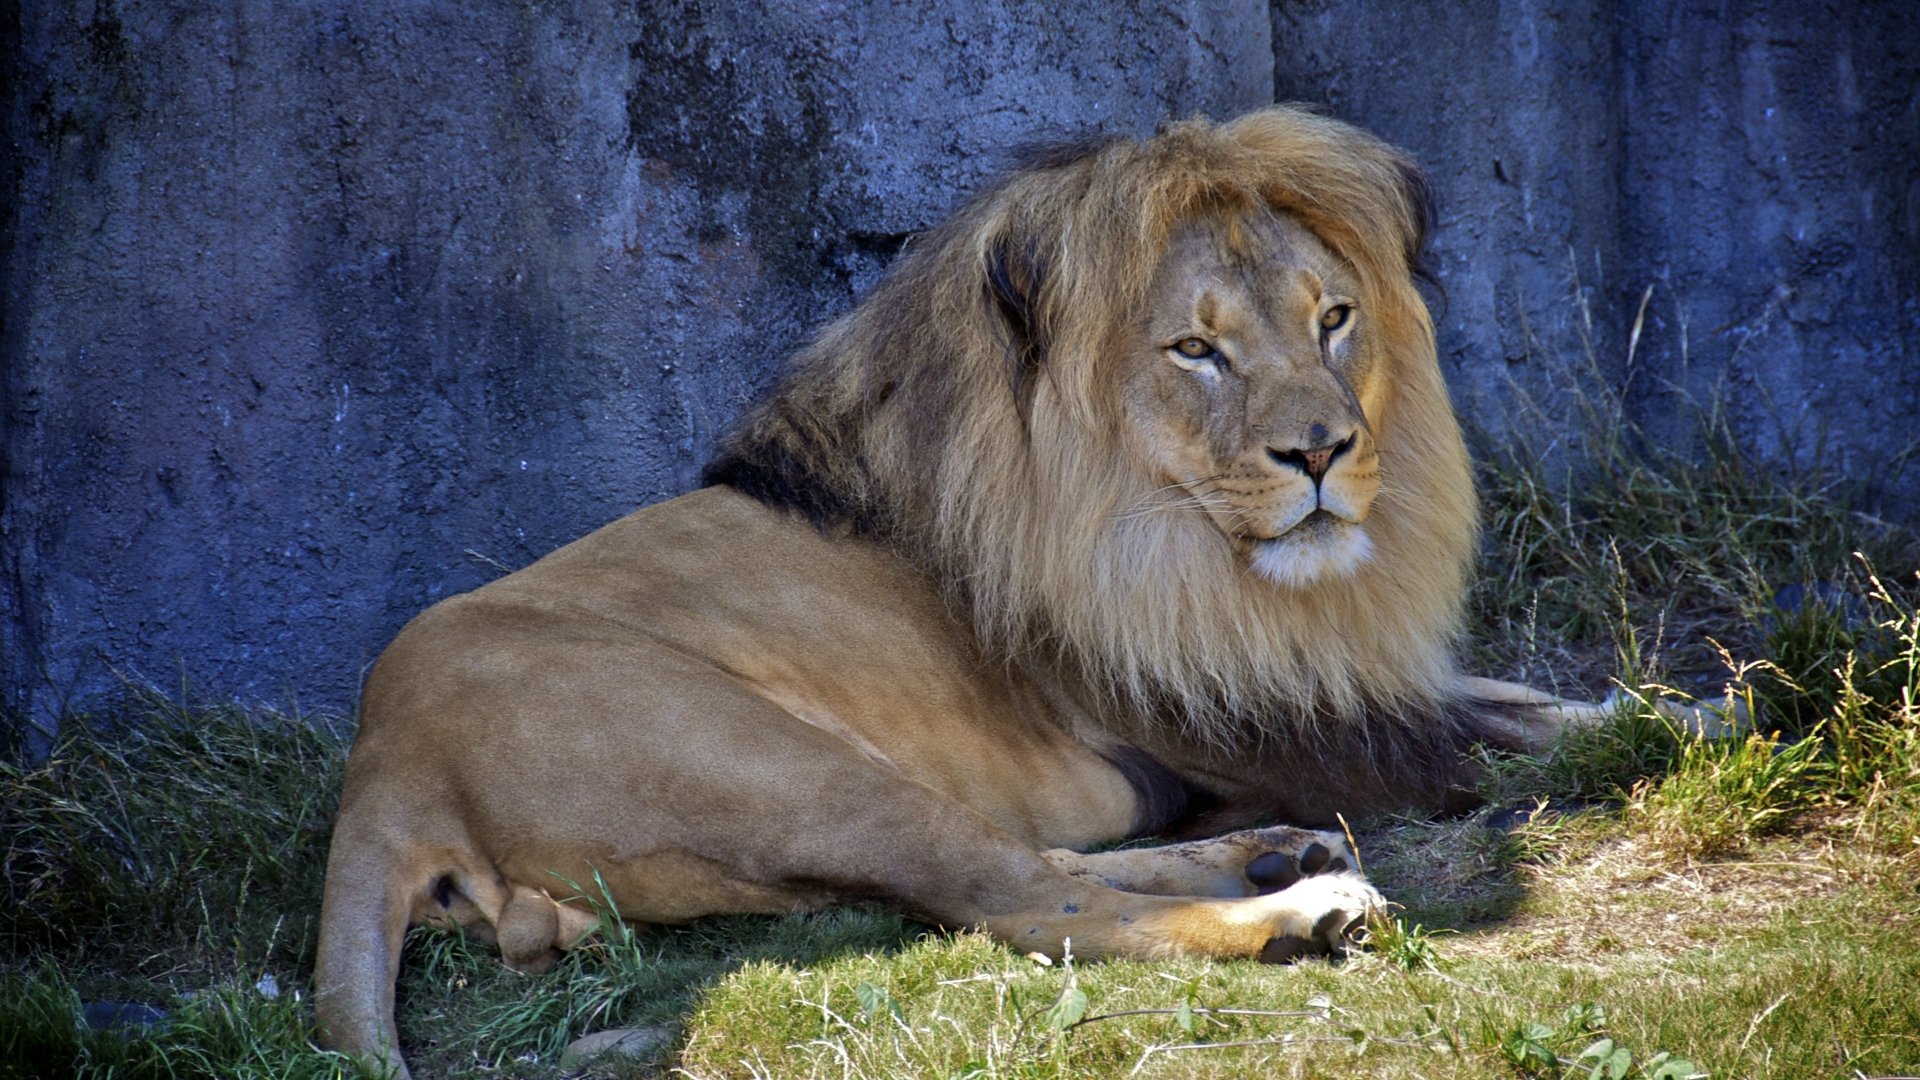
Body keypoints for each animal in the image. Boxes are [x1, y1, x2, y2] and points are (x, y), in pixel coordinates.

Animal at [314, 106, 1623, 1075]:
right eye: (1197, 351)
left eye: (1335, 320)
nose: (1325, 452)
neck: (1177, 543)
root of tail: (381, 764)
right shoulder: (1241, 714)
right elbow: (1499, 733)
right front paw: (1661, 729)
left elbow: (1520, 698)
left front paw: (1636, 705)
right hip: (784, 769)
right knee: (1024, 900)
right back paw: (1299, 912)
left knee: (1041, 866)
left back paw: (1275, 857)